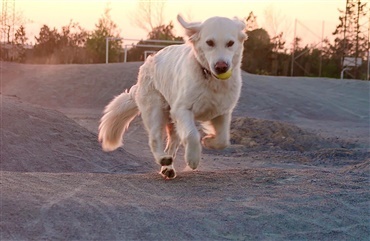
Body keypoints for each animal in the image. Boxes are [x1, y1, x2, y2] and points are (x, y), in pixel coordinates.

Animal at [99, 14, 247, 177]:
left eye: (230, 43)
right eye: (210, 42)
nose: (221, 67)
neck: (208, 78)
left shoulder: (222, 112)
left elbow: (223, 140)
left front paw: (209, 141)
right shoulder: (182, 110)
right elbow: (192, 135)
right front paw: (193, 158)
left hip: (173, 124)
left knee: (171, 147)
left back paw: (168, 168)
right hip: (156, 110)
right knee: (155, 139)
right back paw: (163, 159)